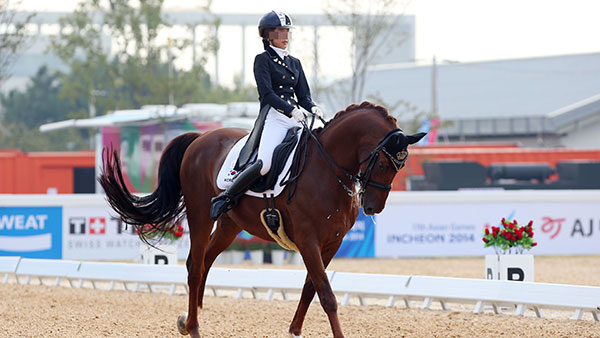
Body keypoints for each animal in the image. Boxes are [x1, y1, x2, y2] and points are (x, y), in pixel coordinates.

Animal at [98, 101, 424, 338]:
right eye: (382, 163)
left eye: (401, 165)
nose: (372, 207)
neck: (328, 169)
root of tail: (200, 138)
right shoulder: (308, 240)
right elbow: (327, 295)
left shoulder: (332, 243)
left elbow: (311, 288)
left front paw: (294, 332)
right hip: (200, 213)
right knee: (195, 266)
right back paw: (194, 328)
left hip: (229, 224)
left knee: (204, 261)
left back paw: (189, 319)